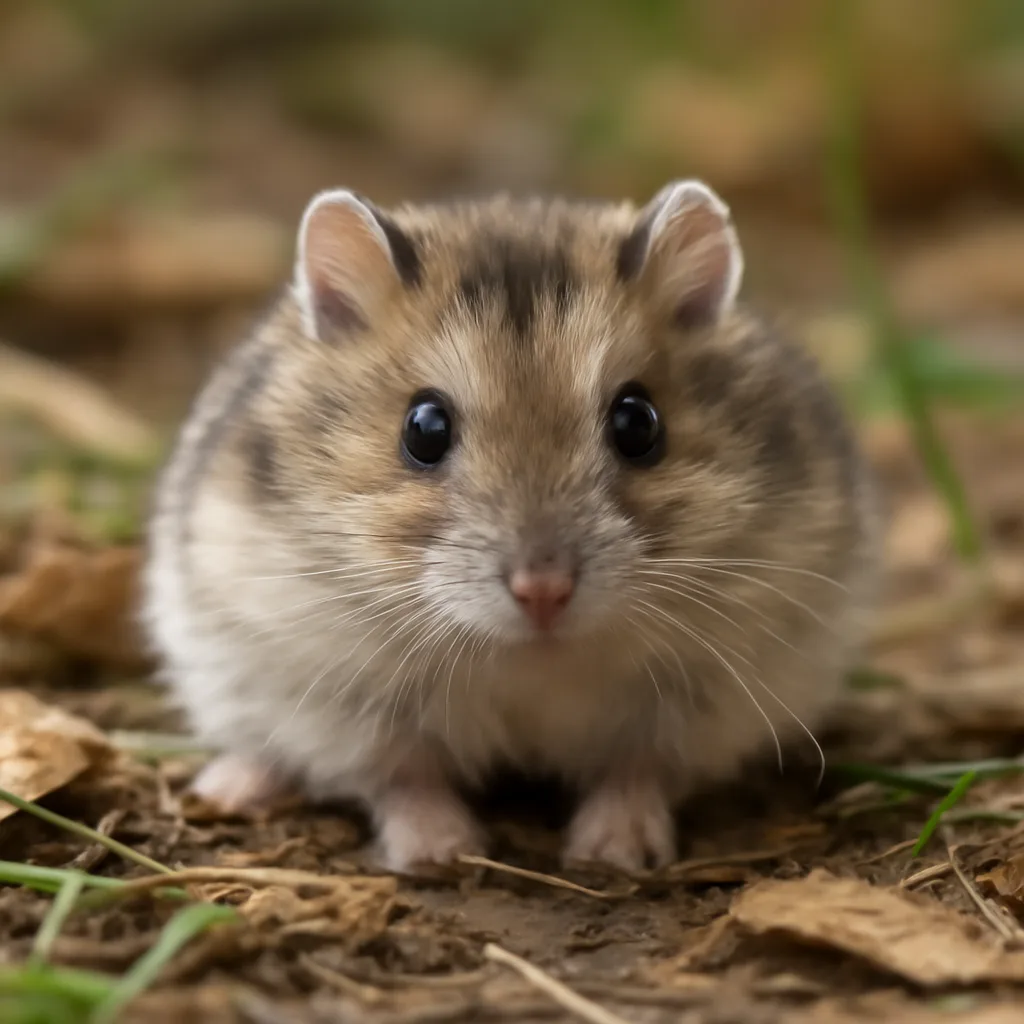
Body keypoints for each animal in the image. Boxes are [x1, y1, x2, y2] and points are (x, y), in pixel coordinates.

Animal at [143, 180, 878, 873]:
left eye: (639, 423)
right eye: (423, 429)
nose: (543, 593)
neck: (531, 660)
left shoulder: (699, 701)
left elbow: (635, 771)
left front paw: (612, 853)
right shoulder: (339, 697)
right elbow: (403, 776)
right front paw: (441, 855)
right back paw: (226, 787)